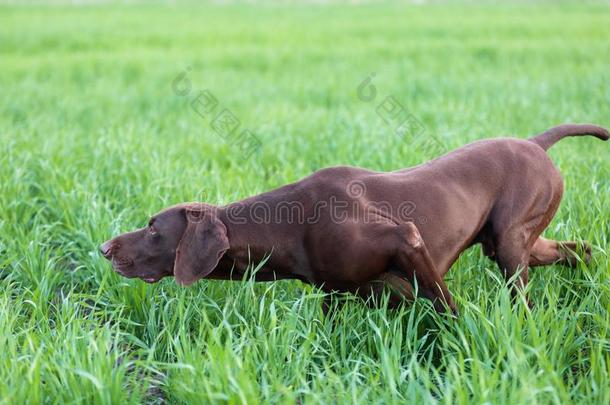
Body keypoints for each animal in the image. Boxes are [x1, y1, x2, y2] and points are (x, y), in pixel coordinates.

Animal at [98, 123, 604, 312]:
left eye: (153, 228)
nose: (103, 248)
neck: (288, 225)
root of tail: (536, 143)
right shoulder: (339, 295)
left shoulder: (407, 240)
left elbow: (446, 305)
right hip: (517, 242)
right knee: (580, 249)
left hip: (511, 244)